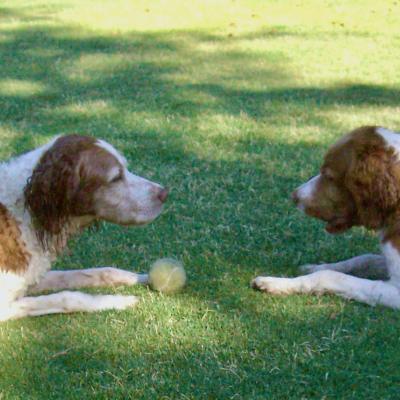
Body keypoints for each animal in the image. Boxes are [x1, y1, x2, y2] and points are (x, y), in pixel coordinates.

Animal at [0, 135, 169, 322]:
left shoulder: (32, 277)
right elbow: (69, 296)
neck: (25, 212)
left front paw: (140, 277)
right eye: (116, 177)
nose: (164, 193)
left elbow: (96, 272)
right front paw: (116, 300)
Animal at [252, 126, 400, 308]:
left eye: (329, 176)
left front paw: (276, 283)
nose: (294, 196)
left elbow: (329, 276)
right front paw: (317, 266)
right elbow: (365, 258)